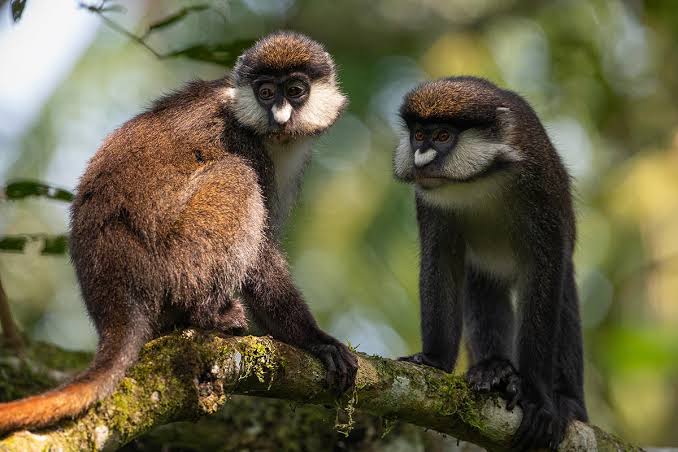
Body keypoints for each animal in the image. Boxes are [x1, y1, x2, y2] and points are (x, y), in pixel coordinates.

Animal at [0, 31, 357, 434]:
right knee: (236, 176)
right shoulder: (241, 140)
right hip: (173, 265)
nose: (279, 115)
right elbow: (262, 259)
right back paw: (206, 315)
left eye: (295, 90)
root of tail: (114, 292)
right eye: (266, 92)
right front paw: (315, 340)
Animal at [393, 77, 587, 451]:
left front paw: (537, 397)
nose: (421, 158)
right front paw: (434, 360)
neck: (481, 179)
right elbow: (441, 261)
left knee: (565, 302)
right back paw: (495, 370)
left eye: (443, 136)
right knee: (481, 289)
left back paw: (567, 400)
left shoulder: (540, 188)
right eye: (419, 135)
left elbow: (544, 274)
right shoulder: (430, 202)